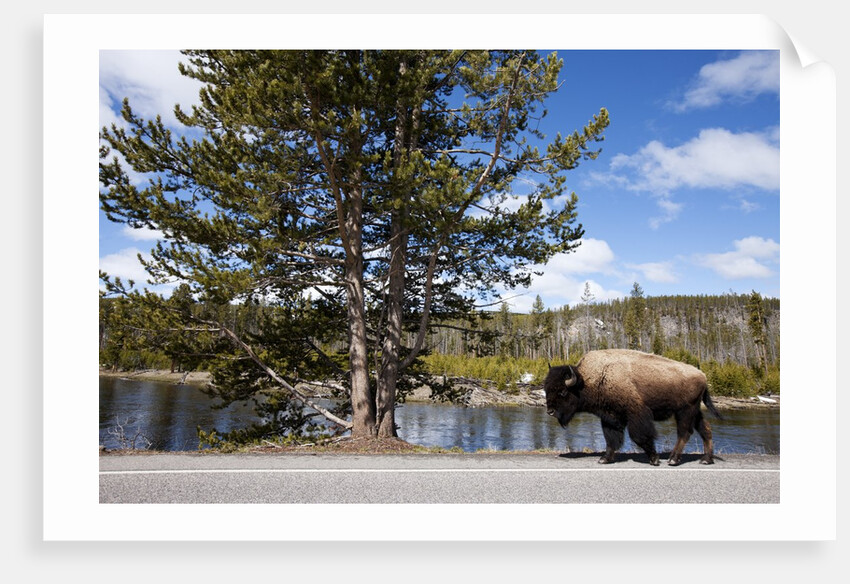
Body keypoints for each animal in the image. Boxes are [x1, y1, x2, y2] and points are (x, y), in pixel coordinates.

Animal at [543, 349, 722, 466]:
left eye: (563, 391)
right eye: (546, 389)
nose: (550, 411)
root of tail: (703, 376)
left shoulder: (636, 413)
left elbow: (639, 436)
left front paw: (654, 459)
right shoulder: (610, 417)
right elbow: (611, 439)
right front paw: (604, 459)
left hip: (685, 411)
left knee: (684, 433)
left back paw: (673, 459)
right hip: (695, 412)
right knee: (706, 430)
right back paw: (706, 459)